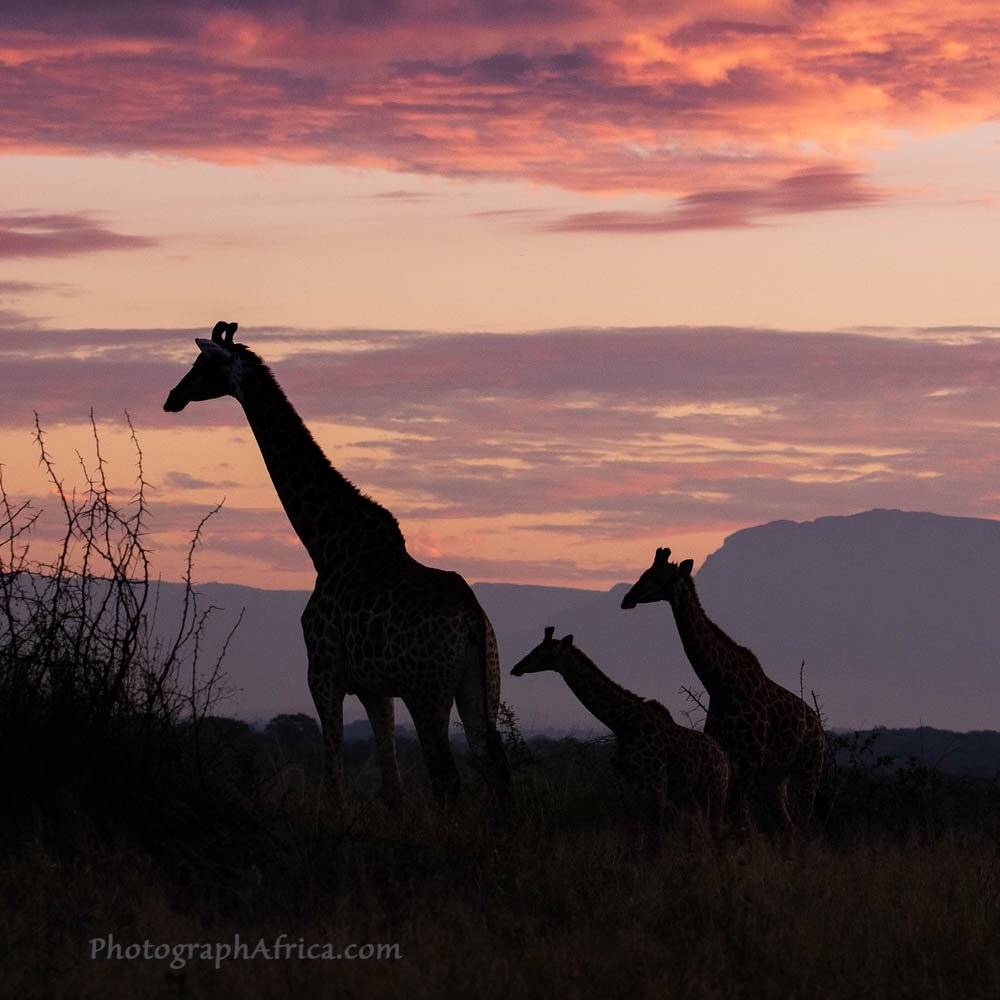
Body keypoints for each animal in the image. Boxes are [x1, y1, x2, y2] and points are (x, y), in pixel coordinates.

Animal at [166, 324, 508, 800]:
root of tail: (474, 618)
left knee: (448, 779)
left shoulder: (323, 674)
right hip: (481, 686)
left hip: (426, 690)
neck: (326, 544)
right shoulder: (374, 688)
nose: (172, 397)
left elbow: (332, 785)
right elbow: (392, 791)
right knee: (495, 770)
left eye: (202, 365)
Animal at [512, 624, 732, 828]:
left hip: (715, 791)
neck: (623, 725)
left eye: (539, 653)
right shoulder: (625, 788)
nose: (516, 668)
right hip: (690, 798)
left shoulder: (655, 787)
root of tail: (722, 755)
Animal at [620, 544, 824, 832]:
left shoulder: (749, 759)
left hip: (808, 767)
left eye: (658, 578)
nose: (628, 598)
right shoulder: (729, 757)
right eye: (644, 572)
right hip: (776, 777)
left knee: (803, 824)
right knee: (789, 827)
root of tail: (819, 728)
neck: (719, 684)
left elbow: (741, 821)